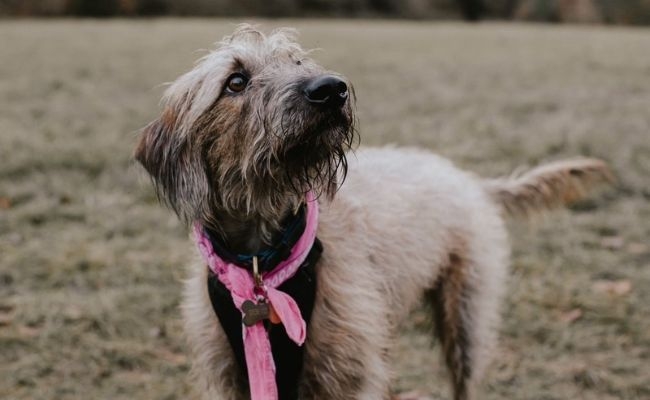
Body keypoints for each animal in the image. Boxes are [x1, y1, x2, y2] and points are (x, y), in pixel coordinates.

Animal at [134, 25, 612, 400]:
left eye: (297, 60)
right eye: (235, 81)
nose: (331, 88)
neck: (262, 266)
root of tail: (468, 179)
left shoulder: (348, 374)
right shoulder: (236, 375)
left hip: (467, 321)